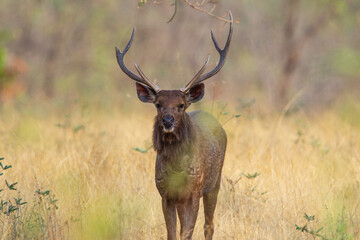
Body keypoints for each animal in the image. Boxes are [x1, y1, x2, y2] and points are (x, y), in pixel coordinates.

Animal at [114, 11, 233, 240]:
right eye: (158, 104)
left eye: (181, 105)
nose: (167, 121)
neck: (177, 169)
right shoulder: (165, 194)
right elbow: (172, 233)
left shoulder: (194, 191)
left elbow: (187, 233)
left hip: (214, 182)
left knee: (209, 225)